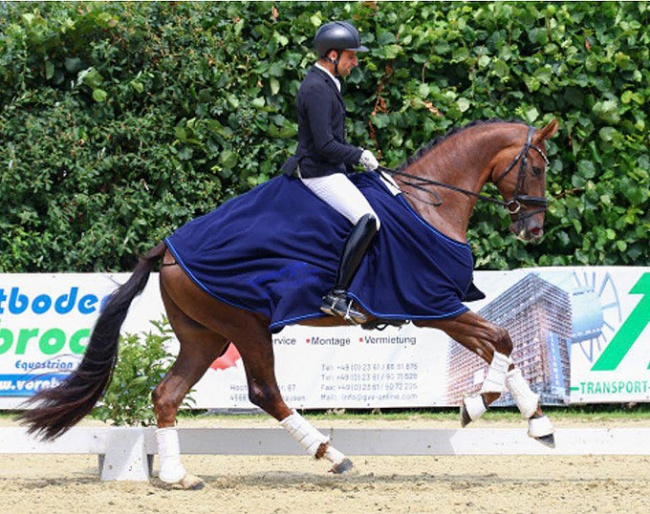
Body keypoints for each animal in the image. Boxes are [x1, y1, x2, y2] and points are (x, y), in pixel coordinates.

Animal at [21, 117, 556, 488]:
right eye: (537, 166)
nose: (533, 230)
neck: (430, 205)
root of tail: (167, 250)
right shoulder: (435, 307)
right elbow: (502, 341)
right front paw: (476, 405)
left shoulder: (439, 310)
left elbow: (502, 349)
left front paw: (538, 423)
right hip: (247, 327)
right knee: (265, 392)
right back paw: (332, 456)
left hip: (204, 336)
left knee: (167, 394)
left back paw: (177, 477)